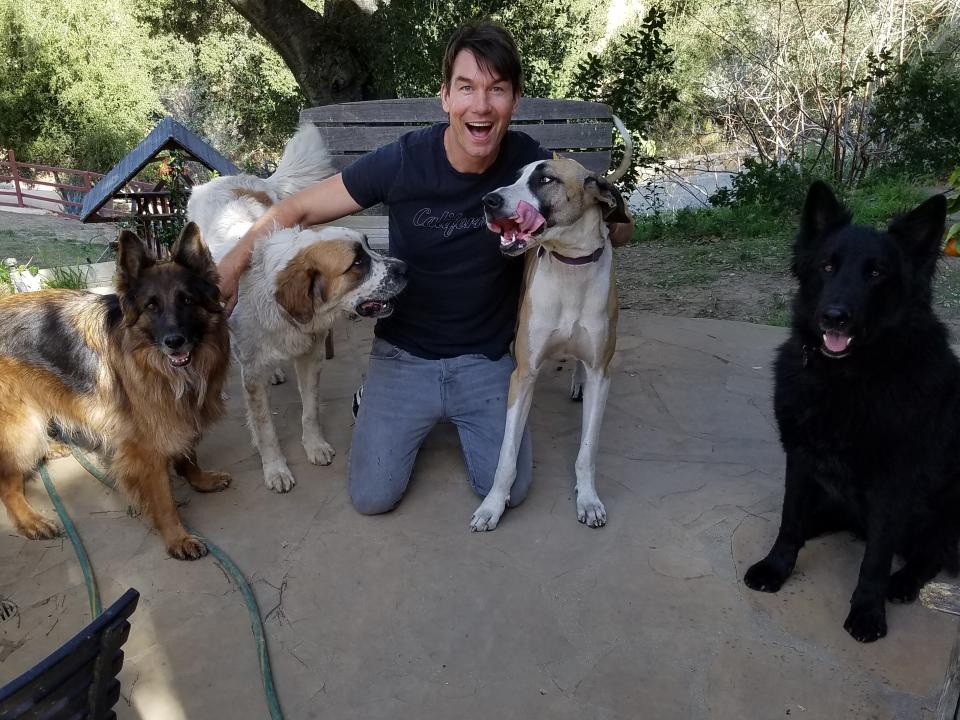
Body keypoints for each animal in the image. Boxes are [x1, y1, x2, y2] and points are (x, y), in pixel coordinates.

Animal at [470, 156, 632, 528]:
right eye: (515, 176)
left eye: (546, 180)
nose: (488, 201)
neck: (570, 267)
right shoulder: (523, 375)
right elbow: (506, 455)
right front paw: (492, 505)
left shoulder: (602, 374)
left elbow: (587, 451)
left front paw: (588, 499)